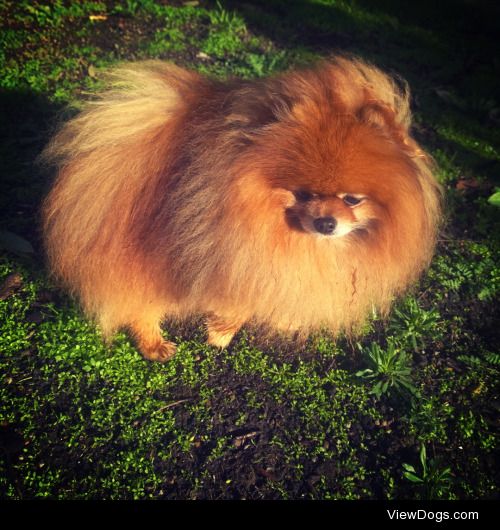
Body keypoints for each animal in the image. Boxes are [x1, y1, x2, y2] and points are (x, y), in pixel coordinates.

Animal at [43, 58, 442, 364]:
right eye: (303, 193)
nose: (325, 222)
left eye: (353, 199)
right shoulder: (232, 249)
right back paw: (155, 344)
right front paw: (222, 331)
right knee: (137, 304)